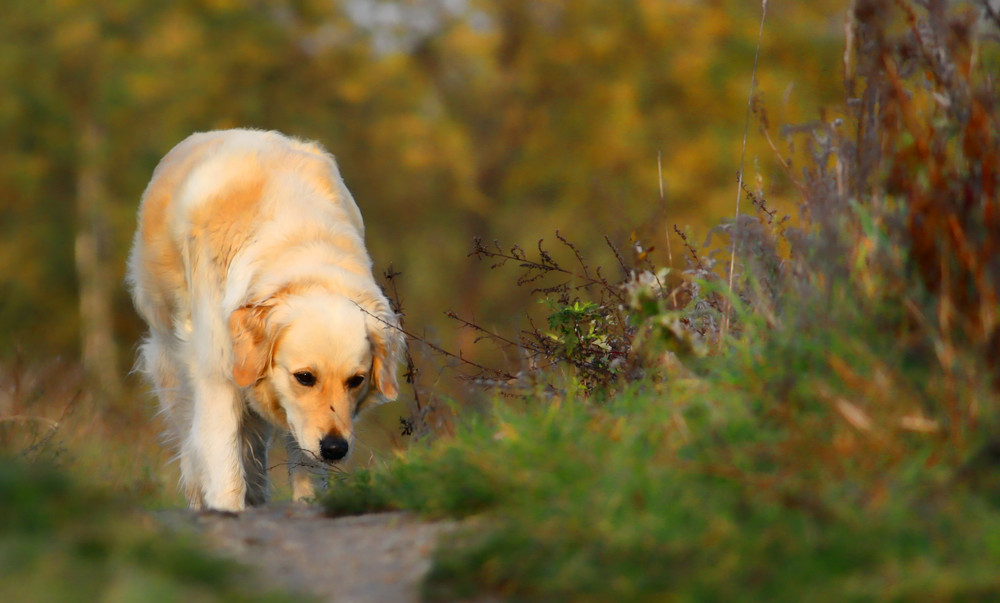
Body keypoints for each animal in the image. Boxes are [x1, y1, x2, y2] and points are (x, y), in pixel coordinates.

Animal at [127, 130, 404, 512]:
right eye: (305, 377)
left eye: (356, 380)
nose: (335, 449)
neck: (303, 245)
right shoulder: (218, 374)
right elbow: (224, 467)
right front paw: (226, 510)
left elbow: (305, 470)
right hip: (170, 359)